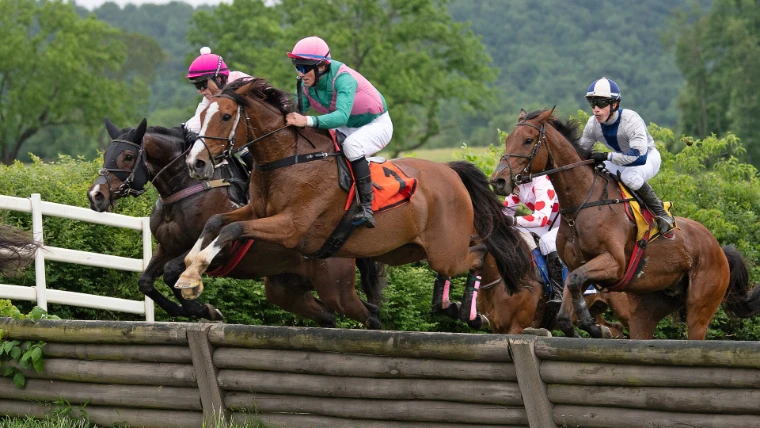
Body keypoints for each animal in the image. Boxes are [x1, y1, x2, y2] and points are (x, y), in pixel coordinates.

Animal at [87, 118, 384, 328]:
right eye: (106, 153)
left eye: (127, 156)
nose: (96, 195)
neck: (187, 187)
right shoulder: (167, 247)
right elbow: (146, 281)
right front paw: (195, 309)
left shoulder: (222, 250)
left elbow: (173, 272)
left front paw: (204, 309)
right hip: (285, 288)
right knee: (330, 315)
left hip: (335, 285)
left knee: (369, 314)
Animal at [177, 77, 532, 328]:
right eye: (200, 115)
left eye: (225, 116)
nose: (196, 163)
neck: (288, 159)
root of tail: (450, 171)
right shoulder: (257, 210)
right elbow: (216, 222)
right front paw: (189, 268)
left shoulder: (291, 227)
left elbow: (233, 229)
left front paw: (193, 275)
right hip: (406, 250)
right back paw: (450, 306)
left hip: (445, 251)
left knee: (479, 254)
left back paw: (469, 312)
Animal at [490, 108, 760, 339]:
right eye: (508, 140)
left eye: (527, 140)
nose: (498, 180)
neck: (581, 205)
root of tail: (719, 249)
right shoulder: (576, 264)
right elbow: (567, 308)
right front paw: (590, 325)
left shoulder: (614, 263)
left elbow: (577, 281)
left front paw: (593, 325)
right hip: (648, 307)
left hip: (700, 308)